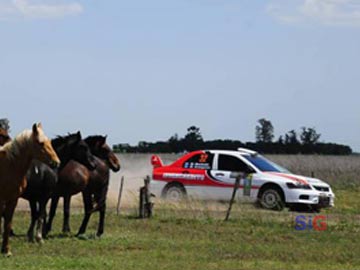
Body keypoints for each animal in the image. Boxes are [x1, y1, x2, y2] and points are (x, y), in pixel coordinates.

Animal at [0, 123, 59, 256]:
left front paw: (6, 250)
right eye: (41, 143)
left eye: (50, 142)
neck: (9, 165)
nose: (56, 162)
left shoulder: (13, 199)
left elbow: (8, 223)